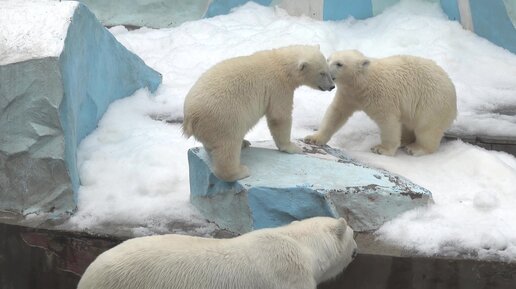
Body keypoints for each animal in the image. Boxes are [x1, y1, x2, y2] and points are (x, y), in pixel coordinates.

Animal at [183, 44, 336, 180]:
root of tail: (191, 116)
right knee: (228, 146)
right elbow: (279, 117)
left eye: (328, 70)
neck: (281, 64)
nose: (332, 86)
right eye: (322, 73)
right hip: (224, 117)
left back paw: (243, 143)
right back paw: (240, 171)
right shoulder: (278, 87)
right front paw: (293, 147)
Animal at [304, 49, 458, 155]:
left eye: (339, 64)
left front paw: (381, 149)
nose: (326, 71)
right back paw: (405, 140)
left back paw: (415, 148)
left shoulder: (382, 96)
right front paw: (313, 138)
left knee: (426, 129)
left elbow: (388, 122)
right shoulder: (348, 95)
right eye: (328, 59)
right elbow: (336, 113)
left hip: (433, 104)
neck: (363, 82)